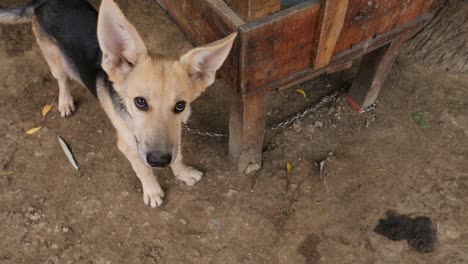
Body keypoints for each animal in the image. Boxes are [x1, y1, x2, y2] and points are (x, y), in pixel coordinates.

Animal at [0, 0, 234, 206]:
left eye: (180, 106)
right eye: (140, 102)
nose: (159, 161)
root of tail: (43, 1)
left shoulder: (175, 134)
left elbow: (177, 155)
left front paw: (183, 173)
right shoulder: (128, 145)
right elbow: (143, 169)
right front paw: (152, 191)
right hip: (54, 60)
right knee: (62, 80)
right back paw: (65, 101)